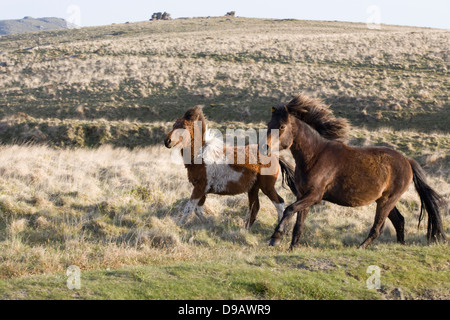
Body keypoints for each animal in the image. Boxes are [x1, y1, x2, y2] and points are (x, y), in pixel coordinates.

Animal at [163, 107, 298, 228]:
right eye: (174, 125)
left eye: (184, 127)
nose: (167, 141)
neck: (201, 155)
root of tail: (274, 155)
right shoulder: (202, 189)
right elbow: (198, 210)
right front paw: (208, 223)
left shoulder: (200, 187)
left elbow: (189, 208)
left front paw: (179, 226)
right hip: (253, 188)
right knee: (255, 207)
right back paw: (245, 230)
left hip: (267, 187)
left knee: (279, 203)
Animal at [268, 95, 446, 250]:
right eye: (269, 123)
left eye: (282, 126)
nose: (266, 147)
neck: (315, 156)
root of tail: (407, 161)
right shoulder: (303, 195)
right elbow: (298, 225)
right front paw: (291, 247)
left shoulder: (314, 196)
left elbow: (289, 209)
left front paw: (276, 237)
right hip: (385, 200)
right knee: (399, 221)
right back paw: (400, 246)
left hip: (387, 200)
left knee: (378, 228)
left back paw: (361, 247)